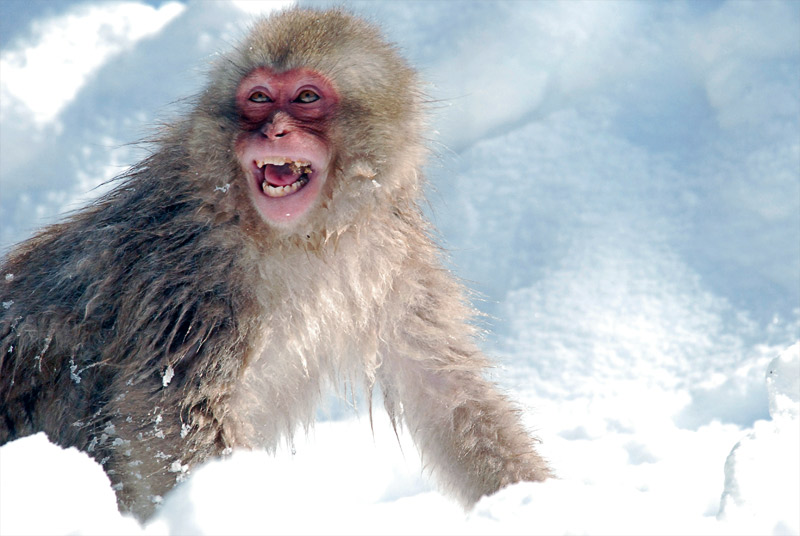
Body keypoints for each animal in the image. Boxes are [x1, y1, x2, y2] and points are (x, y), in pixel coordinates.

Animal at [0, 7, 552, 520]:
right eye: (260, 98)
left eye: (306, 97)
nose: (274, 131)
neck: (298, 240)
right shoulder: (190, 280)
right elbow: (167, 417)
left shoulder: (393, 260)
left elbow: (446, 392)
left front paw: (532, 501)